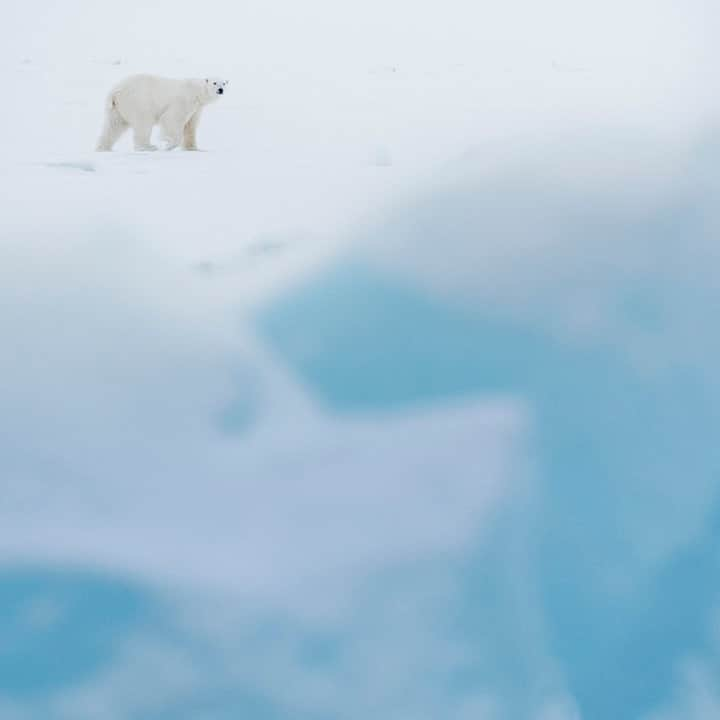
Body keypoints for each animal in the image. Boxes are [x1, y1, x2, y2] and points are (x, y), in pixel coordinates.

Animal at [94, 74, 226, 152]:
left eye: (224, 83)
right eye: (214, 82)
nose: (221, 90)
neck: (196, 91)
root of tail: (115, 91)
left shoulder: (197, 108)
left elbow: (190, 126)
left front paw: (194, 148)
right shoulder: (183, 100)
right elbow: (172, 119)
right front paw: (168, 144)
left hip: (117, 109)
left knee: (113, 126)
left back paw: (103, 148)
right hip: (138, 102)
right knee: (144, 123)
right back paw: (148, 147)